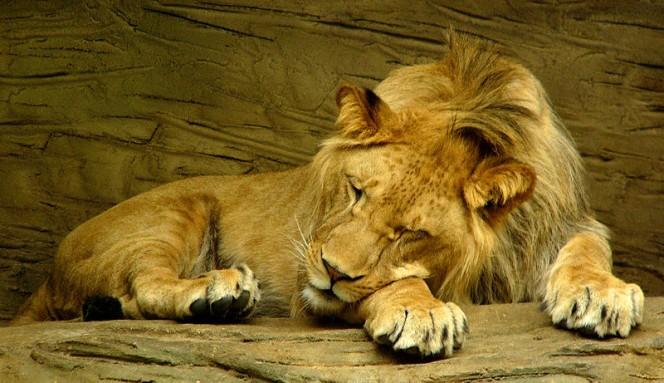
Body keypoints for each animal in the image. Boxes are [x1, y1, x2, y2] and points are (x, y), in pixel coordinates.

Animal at [11, 33, 644, 360]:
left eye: (411, 232)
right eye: (355, 191)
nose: (334, 270)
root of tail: (45, 277)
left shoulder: (565, 222)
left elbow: (590, 250)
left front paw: (603, 295)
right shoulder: (307, 292)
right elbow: (390, 287)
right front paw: (421, 311)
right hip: (179, 210)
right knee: (142, 285)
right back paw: (221, 292)